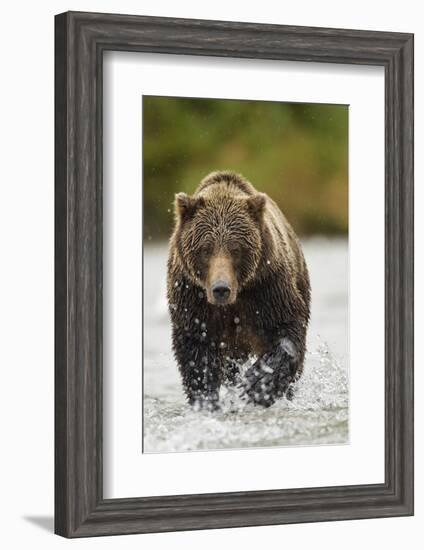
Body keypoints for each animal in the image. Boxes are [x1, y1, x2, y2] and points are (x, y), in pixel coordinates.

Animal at [167, 171, 310, 410]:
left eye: (236, 248)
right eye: (205, 249)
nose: (221, 289)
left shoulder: (267, 287)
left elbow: (286, 329)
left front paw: (257, 384)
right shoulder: (192, 297)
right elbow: (196, 350)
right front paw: (206, 399)